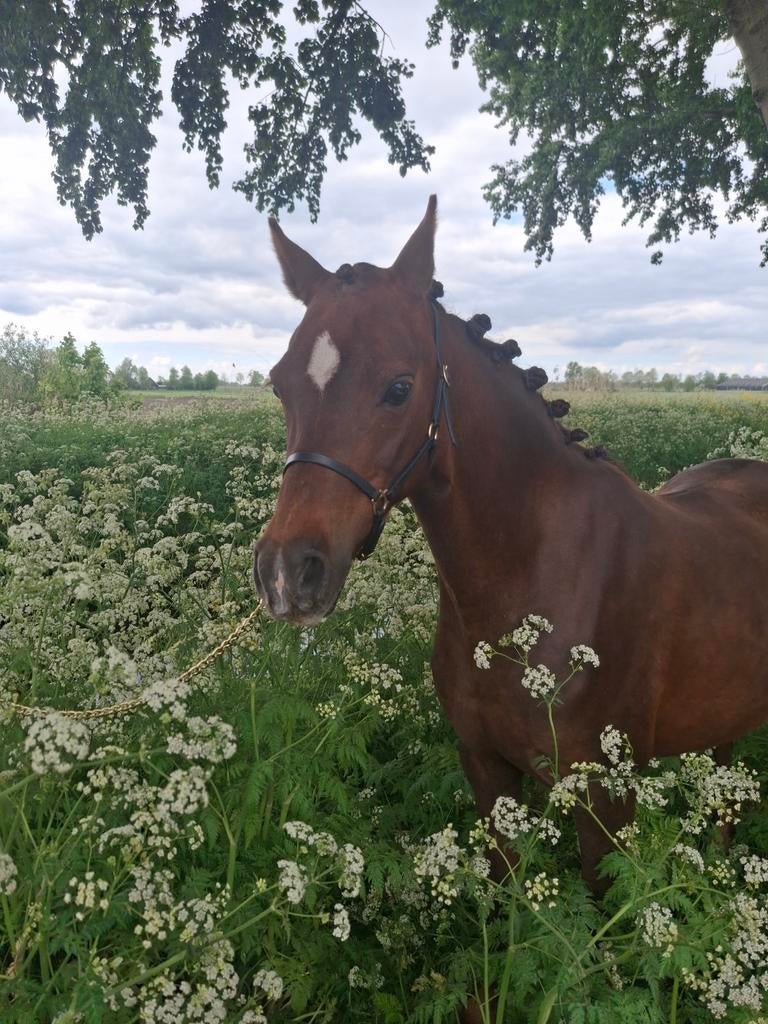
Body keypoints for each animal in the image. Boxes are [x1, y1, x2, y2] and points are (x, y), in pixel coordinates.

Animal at [253, 195, 768, 893]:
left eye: (399, 387)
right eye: (280, 384)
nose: (287, 572)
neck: (532, 577)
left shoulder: (605, 801)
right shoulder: (487, 767)